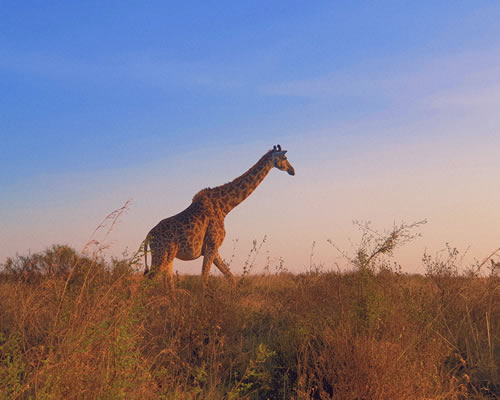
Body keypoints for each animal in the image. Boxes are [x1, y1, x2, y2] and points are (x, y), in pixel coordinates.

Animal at [143, 144, 294, 290]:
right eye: (285, 158)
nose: (292, 170)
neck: (225, 207)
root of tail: (148, 236)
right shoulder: (212, 245)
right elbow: (204, 281)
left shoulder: (212, 249)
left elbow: (231, 278)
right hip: (161, 255)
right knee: (147, 281)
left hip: (169, 256)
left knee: (169, 286)